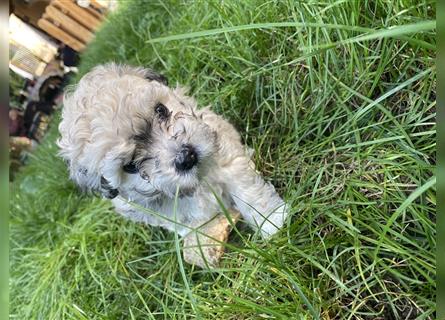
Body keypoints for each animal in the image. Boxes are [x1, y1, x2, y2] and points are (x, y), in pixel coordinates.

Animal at [57, 64, 288, 240]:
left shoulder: (226, 155)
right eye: (129, 166)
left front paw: (272, 220)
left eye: (161, 110)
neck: (197, 183)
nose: (186, 157)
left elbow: (248, 190)